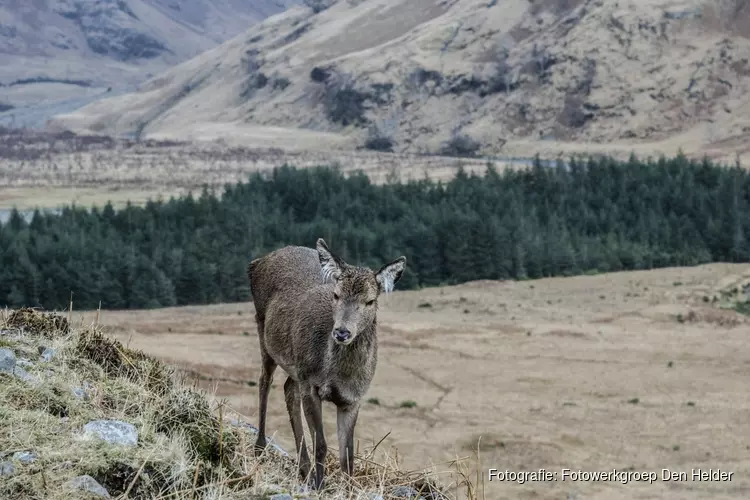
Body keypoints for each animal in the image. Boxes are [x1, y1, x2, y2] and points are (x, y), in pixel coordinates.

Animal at [250, 237, 408, 488]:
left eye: (370, 301)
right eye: (336, 295)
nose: (342, 332)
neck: (336, 375)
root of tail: (258, 262)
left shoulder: (353, 399)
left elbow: (348, 456)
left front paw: (347, 488)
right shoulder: (311, 384)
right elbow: (322, 445)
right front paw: (319, 486)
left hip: (296, 366)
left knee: (287, 388)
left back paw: (303, 468)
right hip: (264, 330)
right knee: (265, 381)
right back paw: (260, 447)